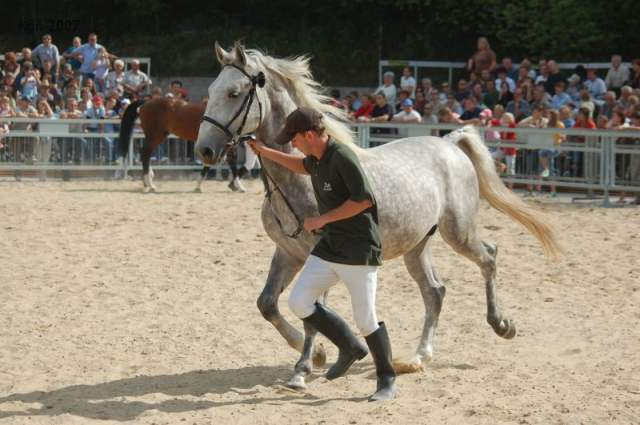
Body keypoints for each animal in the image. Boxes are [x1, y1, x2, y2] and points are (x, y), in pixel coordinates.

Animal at [118, 97, 248, 193]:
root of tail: (146, 101)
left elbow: (209, 163)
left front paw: (198, 186)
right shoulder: (226, 145)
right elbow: (232, 163)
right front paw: (239, 186)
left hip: (158, 136)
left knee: (145, 154)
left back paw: (147, 181)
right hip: (155, 136)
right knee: (145, 154)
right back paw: (150, 184)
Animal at [194, 42, 561, 390]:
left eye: (234, 93)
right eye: (210, 90)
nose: (204, 151)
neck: (299, 177)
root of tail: (450, 142)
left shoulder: (316, 255)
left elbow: (311, 315)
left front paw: (303, 368)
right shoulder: (288, 252)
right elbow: (268, 304)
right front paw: (320, 354)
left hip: (458, 232)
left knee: (488, 257)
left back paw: (502, 325)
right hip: (417, 245)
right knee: (435, 292)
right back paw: (418, 357)